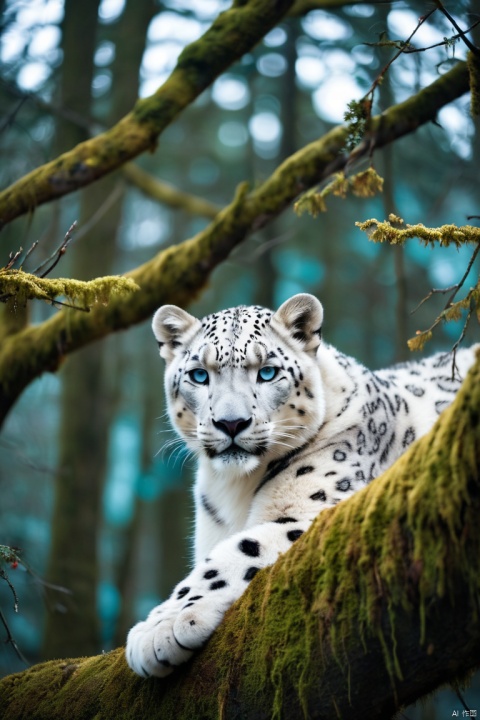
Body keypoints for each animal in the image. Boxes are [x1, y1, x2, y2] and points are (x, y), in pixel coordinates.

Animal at [124, 296, 476, 676]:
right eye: (199, 375)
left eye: (267, 372)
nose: (231, 423)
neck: (236, 487)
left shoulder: (321, 512)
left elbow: (235, 552)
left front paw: (158, 628)